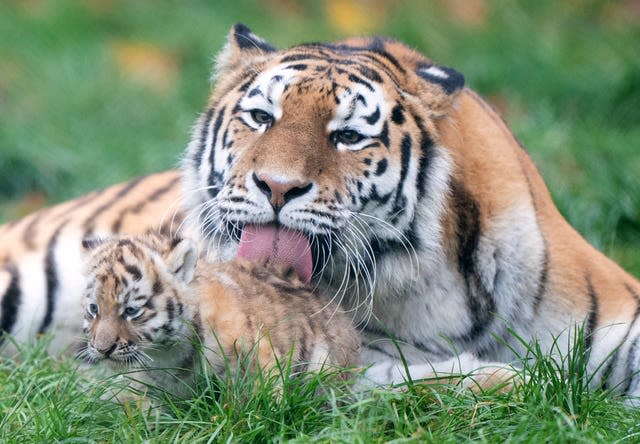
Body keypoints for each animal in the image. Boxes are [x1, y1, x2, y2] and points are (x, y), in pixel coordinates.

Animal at [1, 23, 640, 398]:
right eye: (262, 118)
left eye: (349, 136)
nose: (277, 187)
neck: (437, 286)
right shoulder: (339, 353)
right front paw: (508, 379)